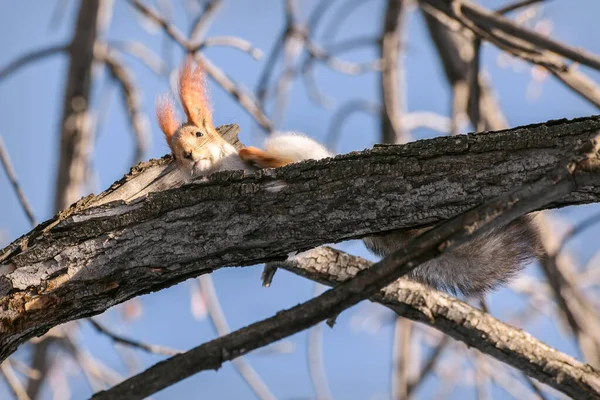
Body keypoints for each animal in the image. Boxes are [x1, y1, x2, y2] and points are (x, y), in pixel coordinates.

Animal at [157, 57, 540, 298]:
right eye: (173, 154)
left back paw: (260, 156)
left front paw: (245, 156)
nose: (188, 157)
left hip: (295, 146)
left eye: (198, 135)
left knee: (283, 157)